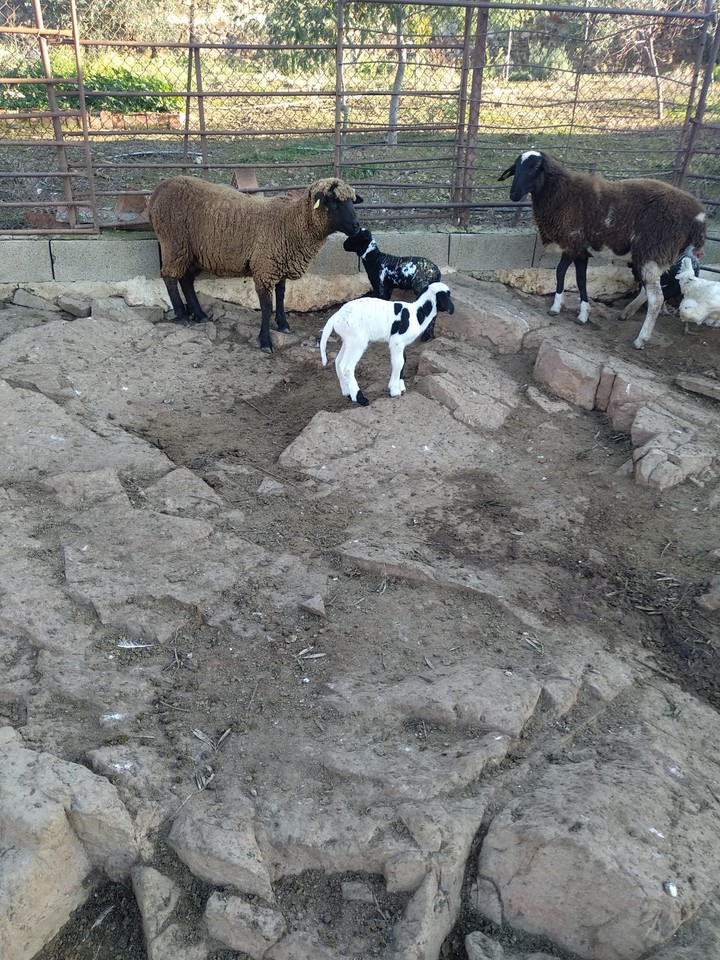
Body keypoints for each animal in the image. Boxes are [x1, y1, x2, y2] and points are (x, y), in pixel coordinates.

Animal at [148, 175, 363, 352]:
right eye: (333, 202)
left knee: (186, 280)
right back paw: (182, 314)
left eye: (351, 201)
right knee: (169, 276)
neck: (292, 223)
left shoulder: (279, 264)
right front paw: (265, 341)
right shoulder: (264, 269)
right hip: (174, 243)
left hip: (191, 251)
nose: (356, 226)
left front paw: (283, 325)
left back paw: (199, 314)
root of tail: (161, 188)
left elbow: (281, 296)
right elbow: (267, 307)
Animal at [319, 281, 455, 406]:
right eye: (448, 295)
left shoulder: (401, 344)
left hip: (348, 340)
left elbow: (403, 361)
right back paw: (360, 398)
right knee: (346, 367)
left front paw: (400, 387)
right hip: (357, 341)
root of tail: (336, 316)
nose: (452, 310)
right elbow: (398, 363)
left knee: (338, 362)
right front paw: (395, 391)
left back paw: (347, 393)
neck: (418, 314)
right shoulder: (397, 341)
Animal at [498, 150, 706, 349]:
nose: (513, 195)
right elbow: (581, 280)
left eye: (534, 167)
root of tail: (697, 217)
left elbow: (560, 272)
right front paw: (583, 314)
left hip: (653, 251)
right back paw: (627, 312)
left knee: (656, 298)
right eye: (515, 168)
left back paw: (640, 340)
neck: (562, 193)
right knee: (650, 289)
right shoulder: (582, 251)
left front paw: (556, 307)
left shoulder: (573, 244)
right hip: (656, 257)